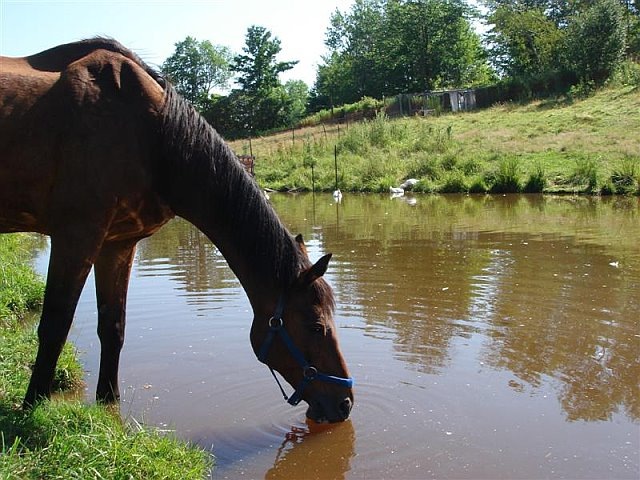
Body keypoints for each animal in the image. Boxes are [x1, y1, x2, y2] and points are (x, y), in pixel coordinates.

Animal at [0, 39, 352, 422]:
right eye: (316, 326)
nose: (345, 403)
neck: (153, 136)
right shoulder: (76, 236)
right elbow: (54, 325)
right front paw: (31, 408)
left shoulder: (117, 244)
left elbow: (113, 327)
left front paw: (109, 405)